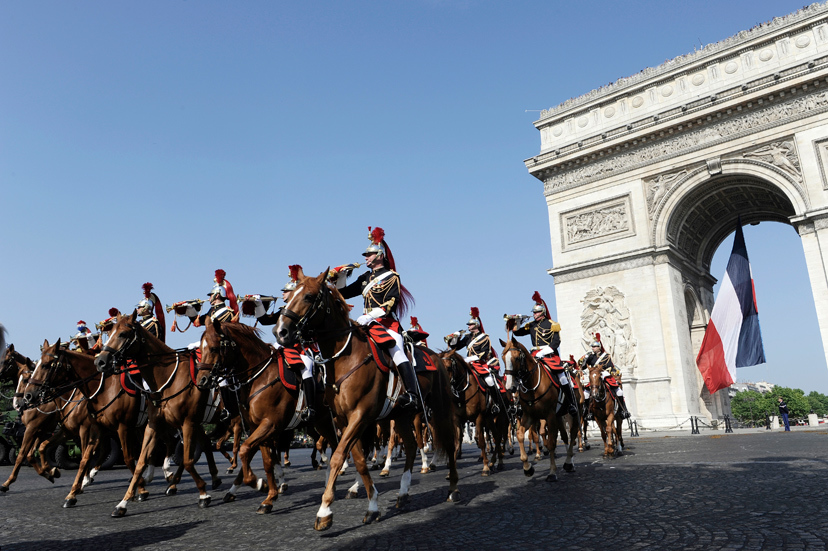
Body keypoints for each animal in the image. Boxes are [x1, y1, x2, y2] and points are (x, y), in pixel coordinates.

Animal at [94, 312, 223, 520]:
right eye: (110, 332)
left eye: (122, 334)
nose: (100, 361)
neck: (167, 378)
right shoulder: (153, 425)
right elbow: (140, 462)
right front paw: (123, 503)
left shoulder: (187, 422)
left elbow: (187, 460)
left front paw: (203, 494)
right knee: (205, 444)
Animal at [198, 316, 340, 516]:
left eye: (213, 348)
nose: (201, 381)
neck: (259, 378)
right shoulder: (258, 428)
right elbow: (266, 462)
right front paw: (269, 496)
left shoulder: (270, 424)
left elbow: (244, 450)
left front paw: (259, 484)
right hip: (320, 422)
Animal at [276, 270, 460, 532]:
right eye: (289, 296)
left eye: (309, 296)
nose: (280, 332)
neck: (345, 358)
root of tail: (436, 356)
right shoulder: (345, 420)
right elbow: (359, 460)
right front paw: (372, 505)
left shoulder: (360, 415)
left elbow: (338, 457)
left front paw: (324, 510)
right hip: (400, 414)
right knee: (411, 446)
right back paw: (403, 493)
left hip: (438, 407)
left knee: (447, 440)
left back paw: (453, 488)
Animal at [498, 334, 576, 480]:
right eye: (503, 358)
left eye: (517, 358)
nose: (510, 387)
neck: (532, 385)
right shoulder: (529, 416)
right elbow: (521, 435)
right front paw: (527, 467)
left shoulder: (548, 416)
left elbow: (550, 442)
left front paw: (552, 472)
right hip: (558, 416)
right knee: (564, 436)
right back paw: (569, 462)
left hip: (572, 413)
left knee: (573, 433)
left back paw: (570, 460)